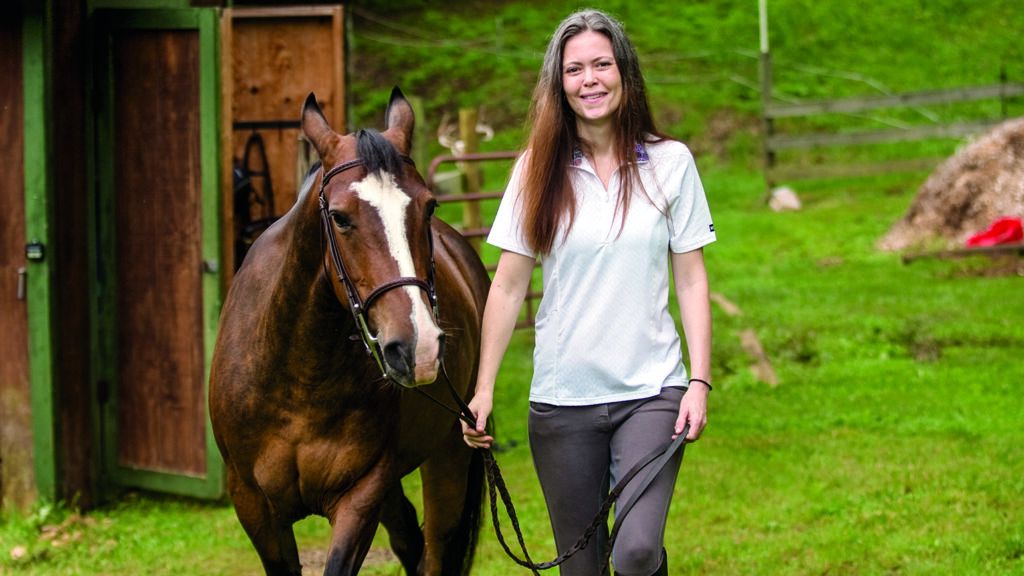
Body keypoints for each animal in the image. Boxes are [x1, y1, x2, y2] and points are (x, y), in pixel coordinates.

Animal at [209, 87, 489, 569]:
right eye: (340, 217)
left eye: (429, 206)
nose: (418, 348)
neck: (297, 378)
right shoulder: (253, 505)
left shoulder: (361, 495)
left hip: (450, 456)